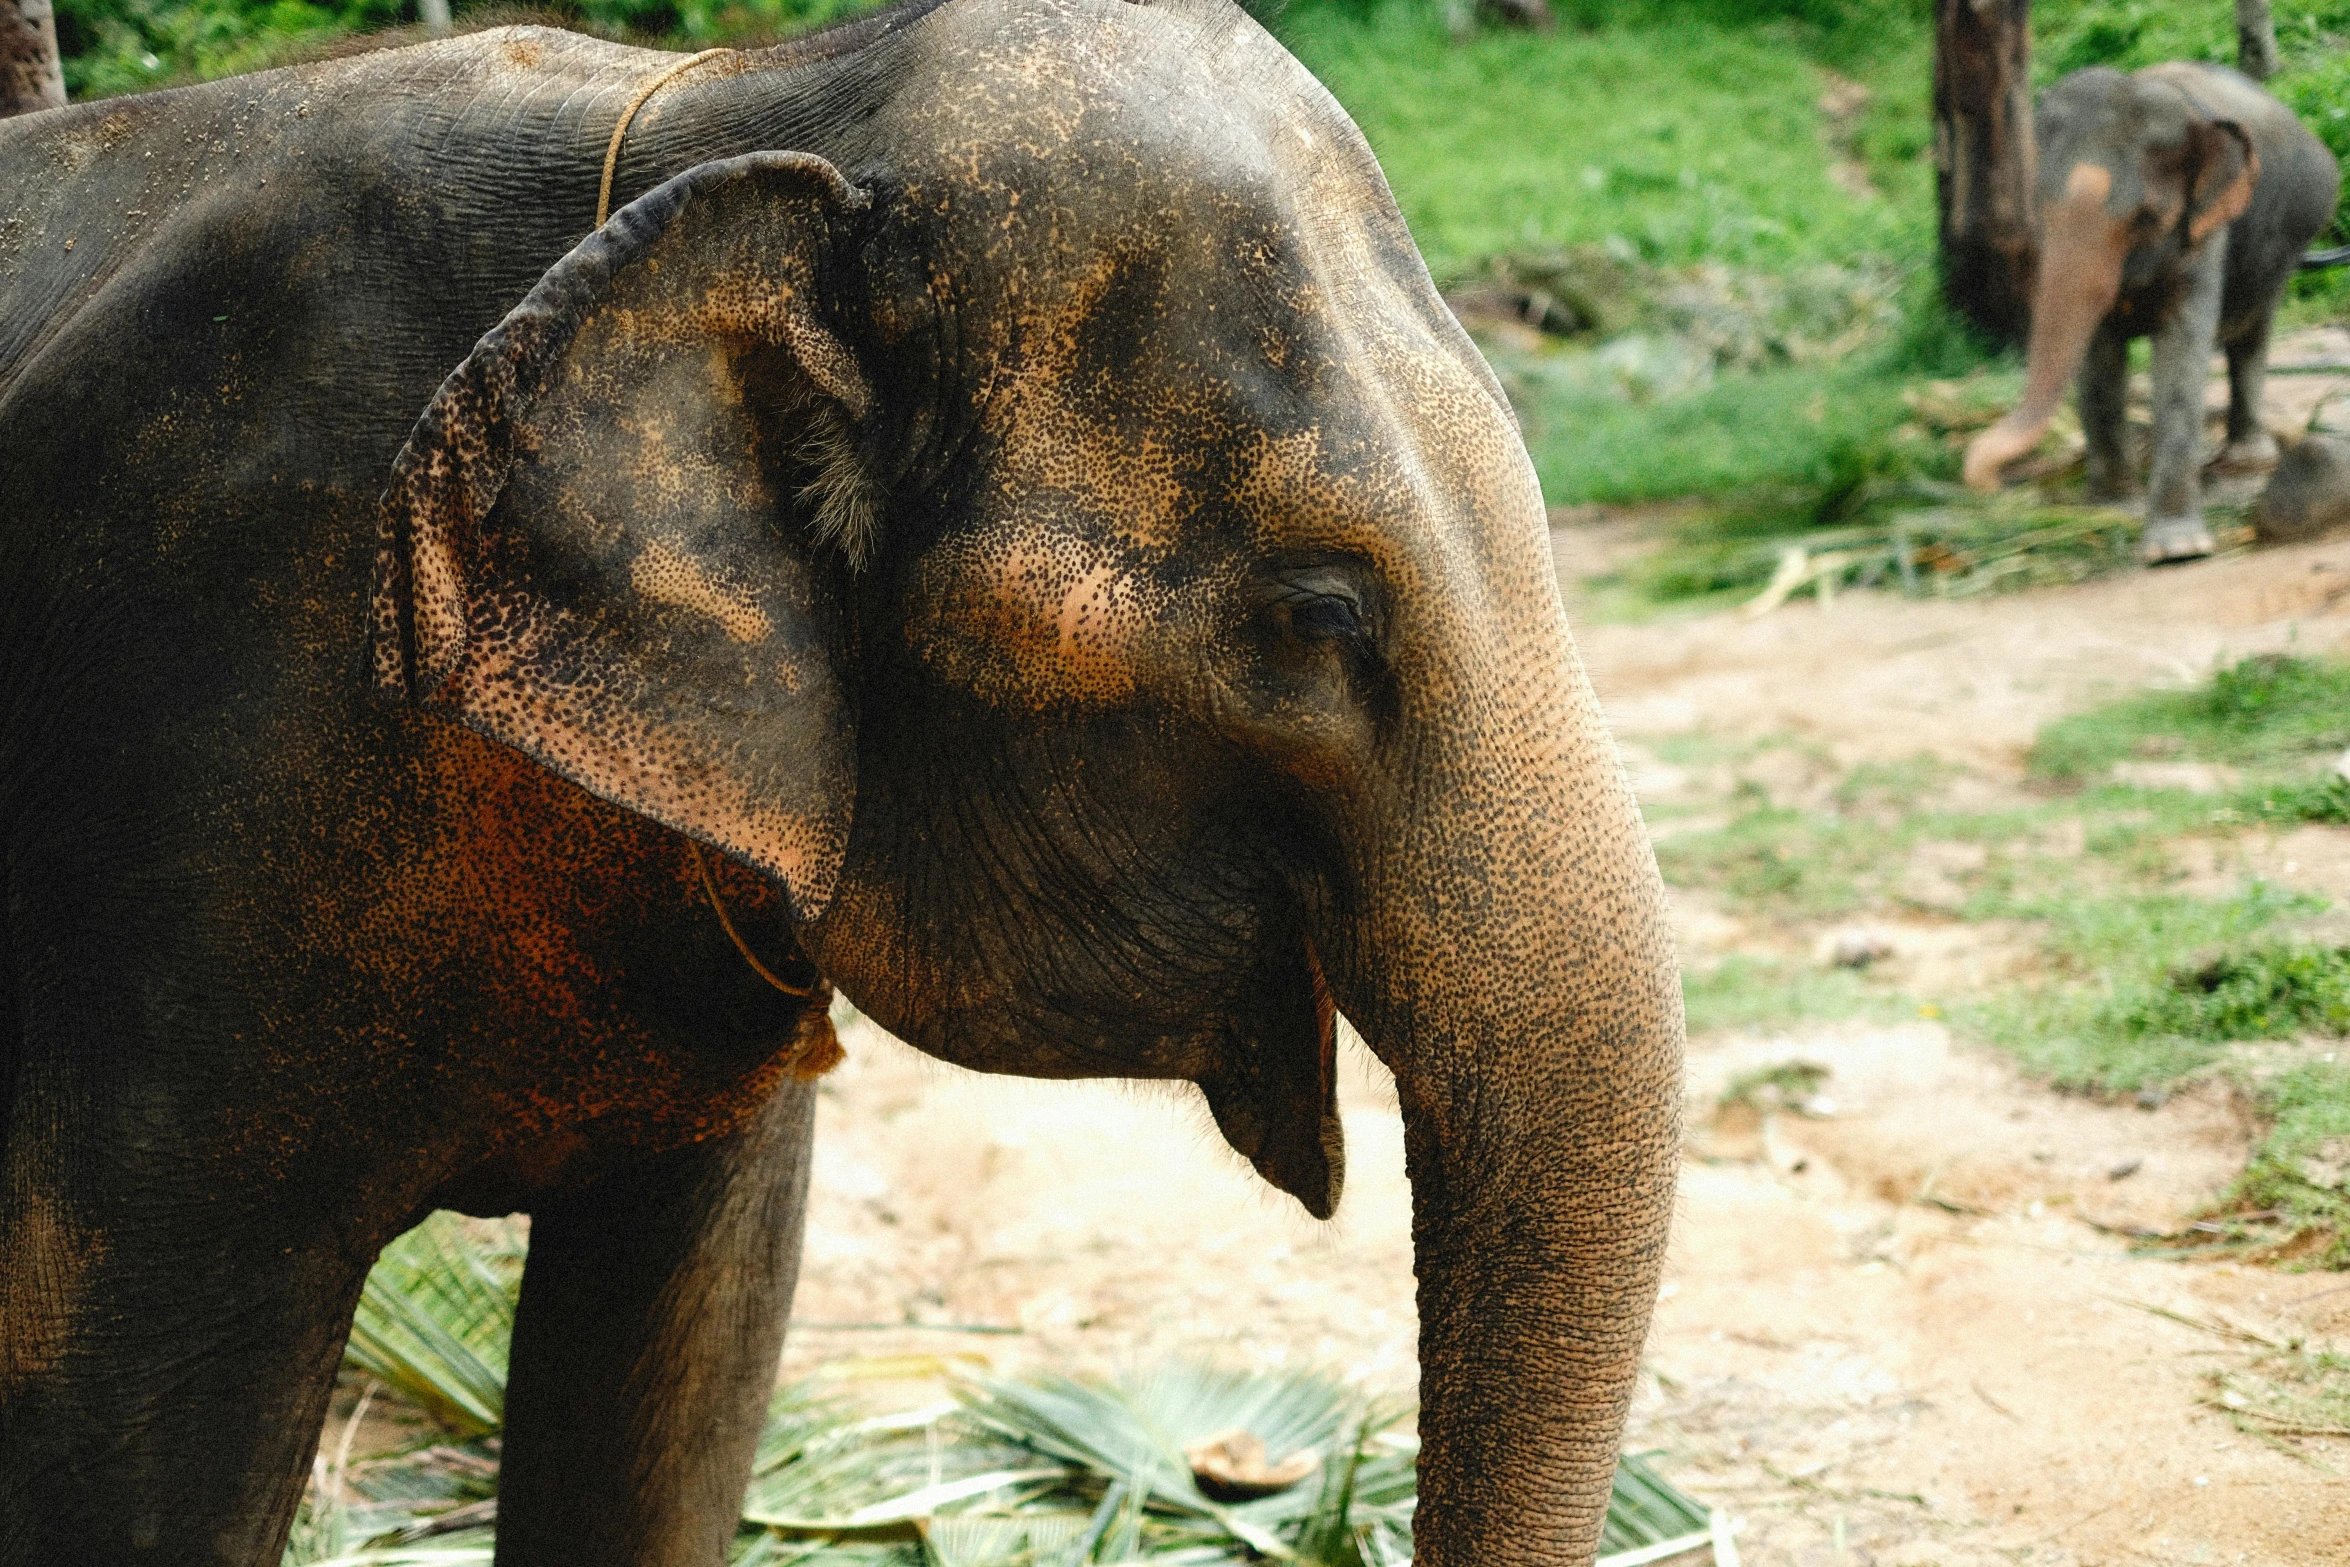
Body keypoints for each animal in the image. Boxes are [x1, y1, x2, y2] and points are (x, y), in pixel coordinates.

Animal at [1955, 62, 2340, 563]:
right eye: (2040, 208)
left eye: (2145, 218)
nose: (1991, 484)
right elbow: (2097, 360)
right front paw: (2114, 508)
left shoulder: (2205, 231)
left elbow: (2180, 353)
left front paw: (2177, 550)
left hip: (2288, 243)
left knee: (2252, 333)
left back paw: (2245, 463)